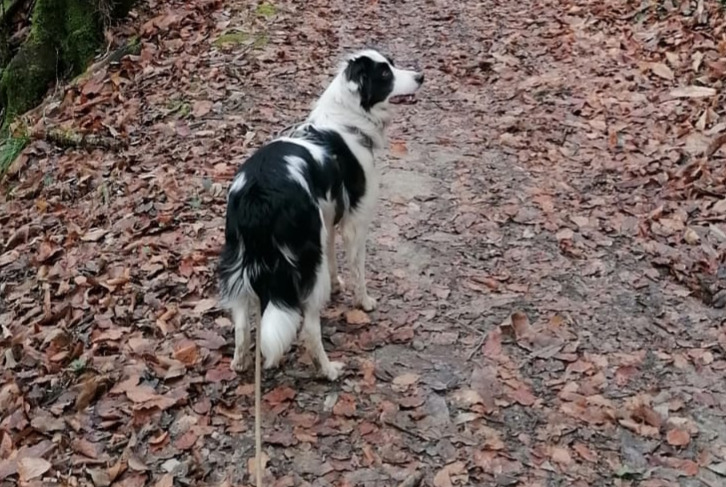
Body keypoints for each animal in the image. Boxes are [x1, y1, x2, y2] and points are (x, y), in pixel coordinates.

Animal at [219, 48, 424, 382]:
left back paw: (242, 363)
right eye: (384, 73)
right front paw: (364, 302)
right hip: (305, 266)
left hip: (238, 260)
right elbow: (358, 270)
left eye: (392, 64)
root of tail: (257, 194)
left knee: (241, 323)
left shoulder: (326, 220)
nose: (421, 76)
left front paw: (338, 284)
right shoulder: (356, 221)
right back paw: (328, 369)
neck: (347, 122)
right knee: (309, 330)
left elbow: (333, 256)